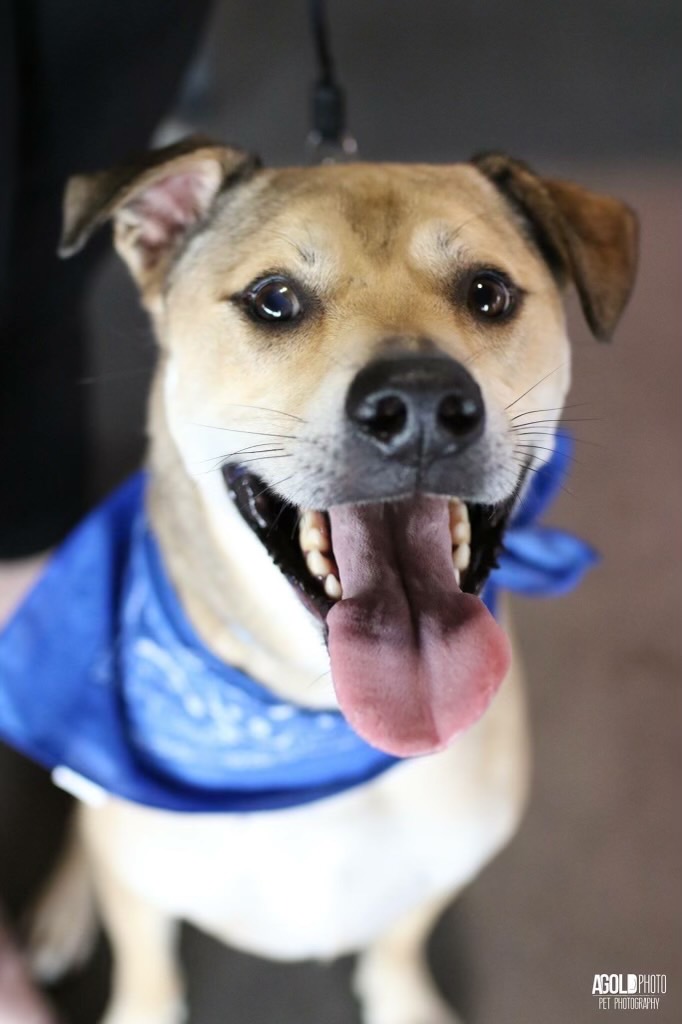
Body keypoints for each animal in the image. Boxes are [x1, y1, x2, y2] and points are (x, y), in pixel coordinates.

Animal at [22, 138, 637, 1024]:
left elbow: (398, 943)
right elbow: (148, 973)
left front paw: (407, 1003)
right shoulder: (140, 900)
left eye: (488, 293)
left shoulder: (444, 867)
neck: (313, 723)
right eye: (274, 300)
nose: (420, 404)